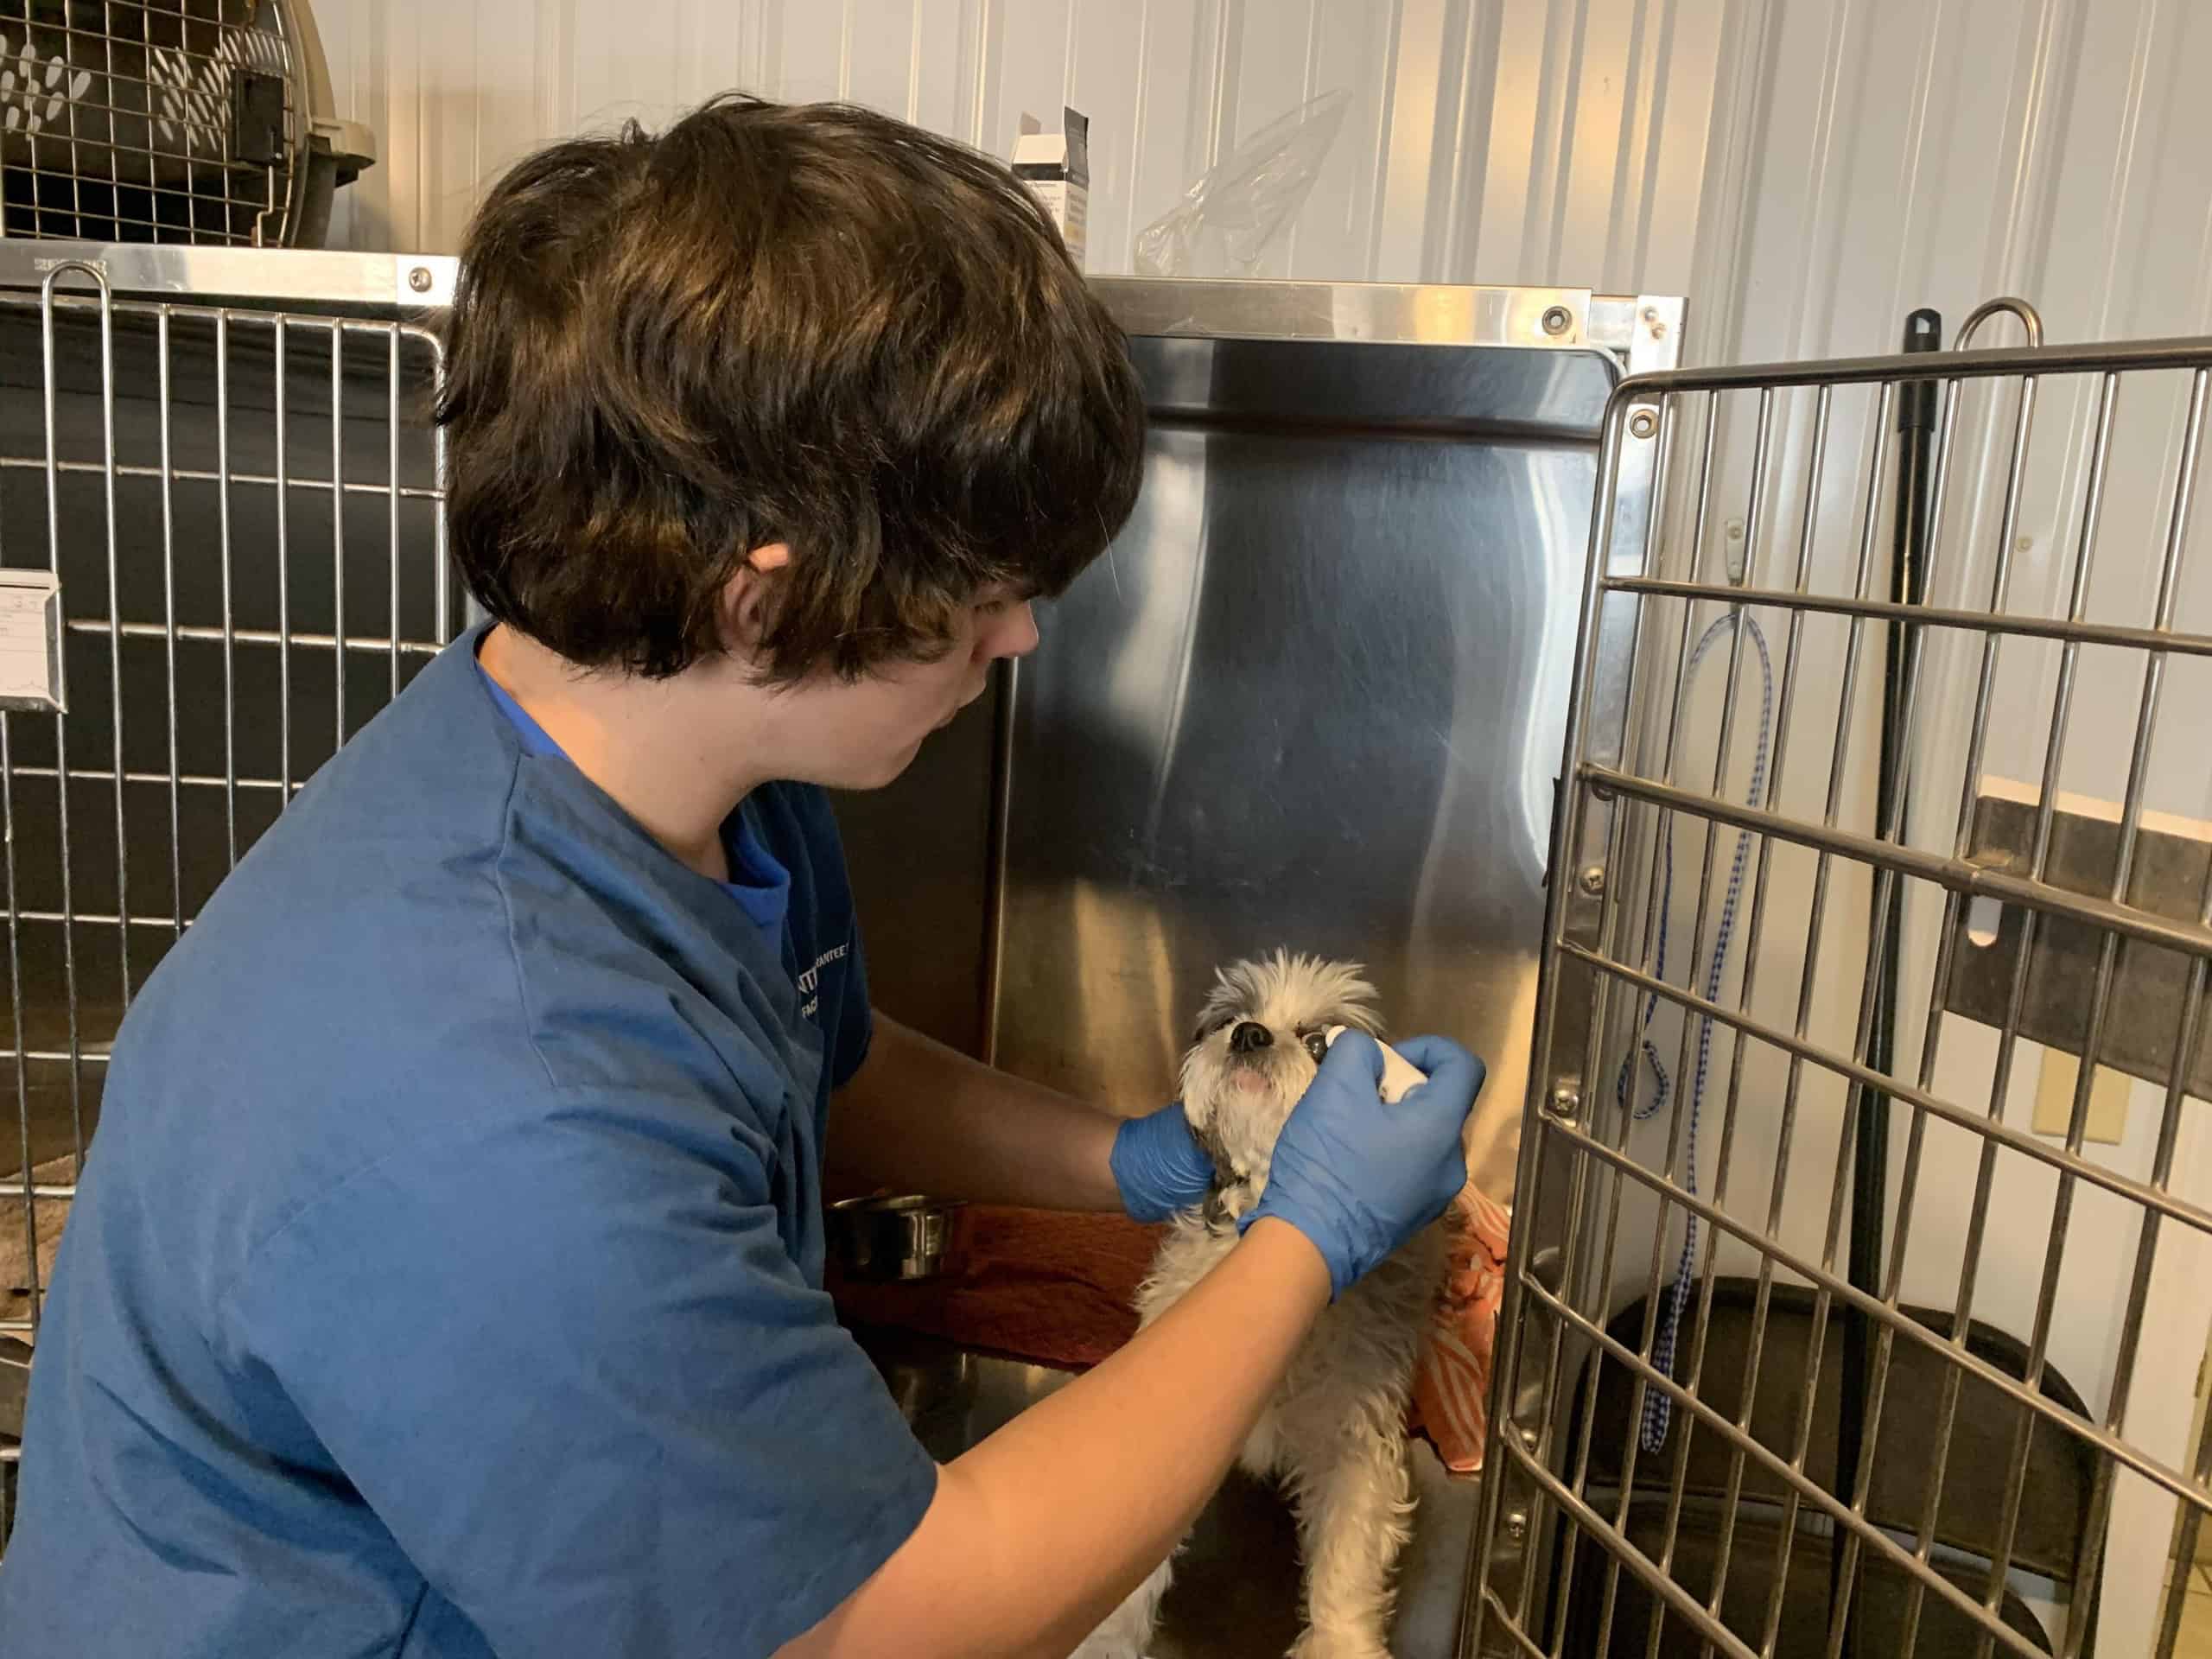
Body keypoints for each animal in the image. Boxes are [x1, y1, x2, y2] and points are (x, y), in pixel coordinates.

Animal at [1075, 955, 1451, 1659]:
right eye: (1232, 1016)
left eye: (1318, 1042)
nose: (1250, 1035)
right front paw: (1107, 1637)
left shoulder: (1351, 1437)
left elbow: (1348, 1559)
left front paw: (1340, 1643)